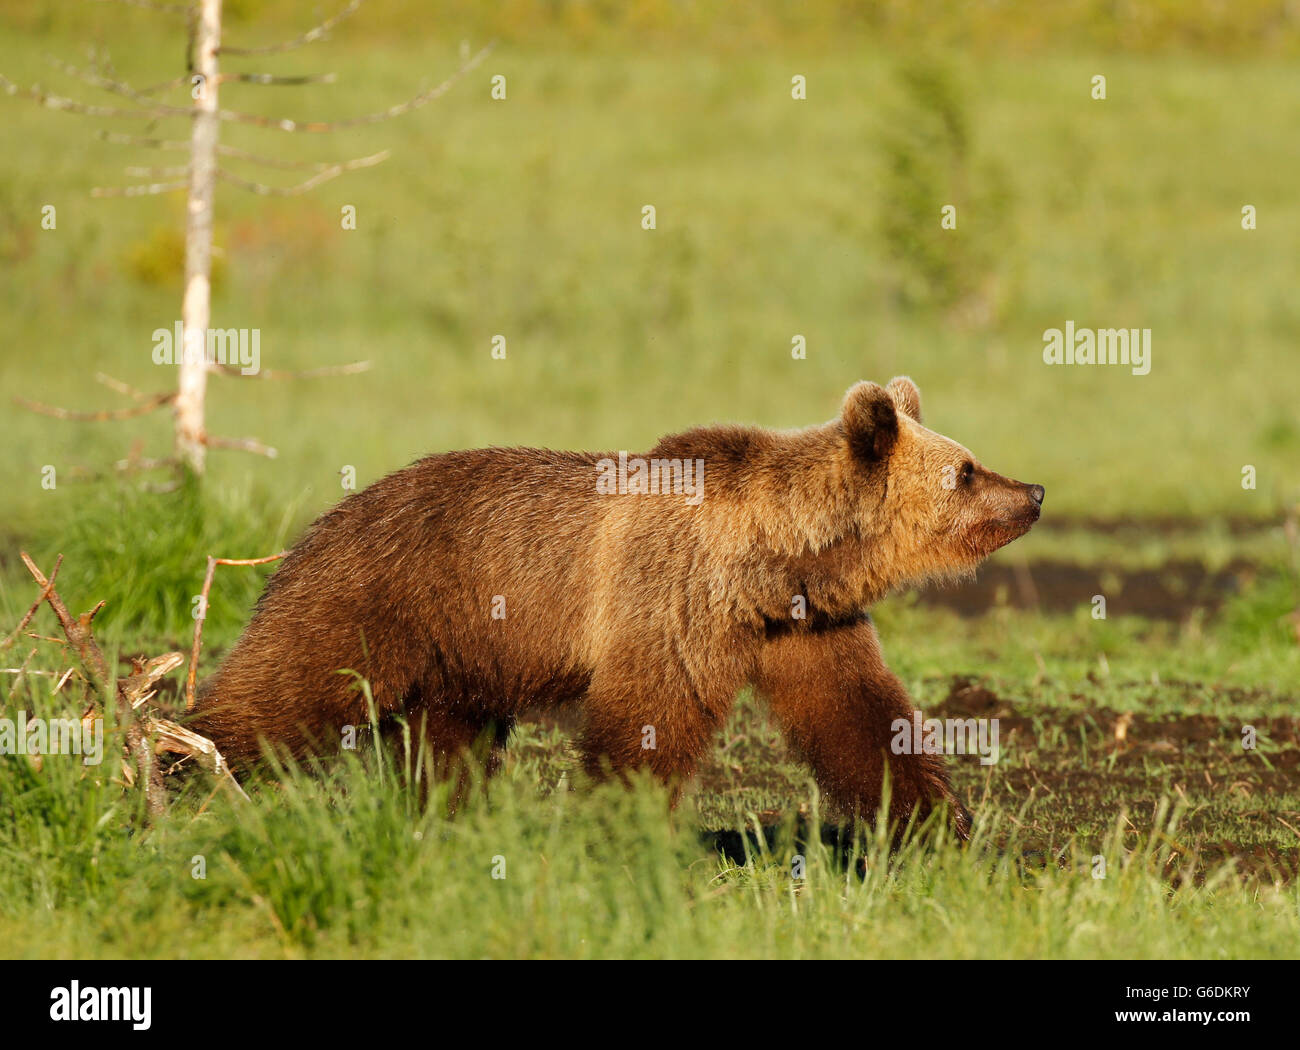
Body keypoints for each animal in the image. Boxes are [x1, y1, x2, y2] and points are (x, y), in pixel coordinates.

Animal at [191, 376, 1044, 837]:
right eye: (967, 471)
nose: (1033, 491)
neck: (770, 558)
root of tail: (321, 521)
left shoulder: (804, 625)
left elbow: (862, 721)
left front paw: (944, 830)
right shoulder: (670, 600)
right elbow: (647, 723)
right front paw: (623, 836)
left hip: (459, 655)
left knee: (444, 745)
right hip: (373, 598)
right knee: (285, 690)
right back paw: (188, 762)